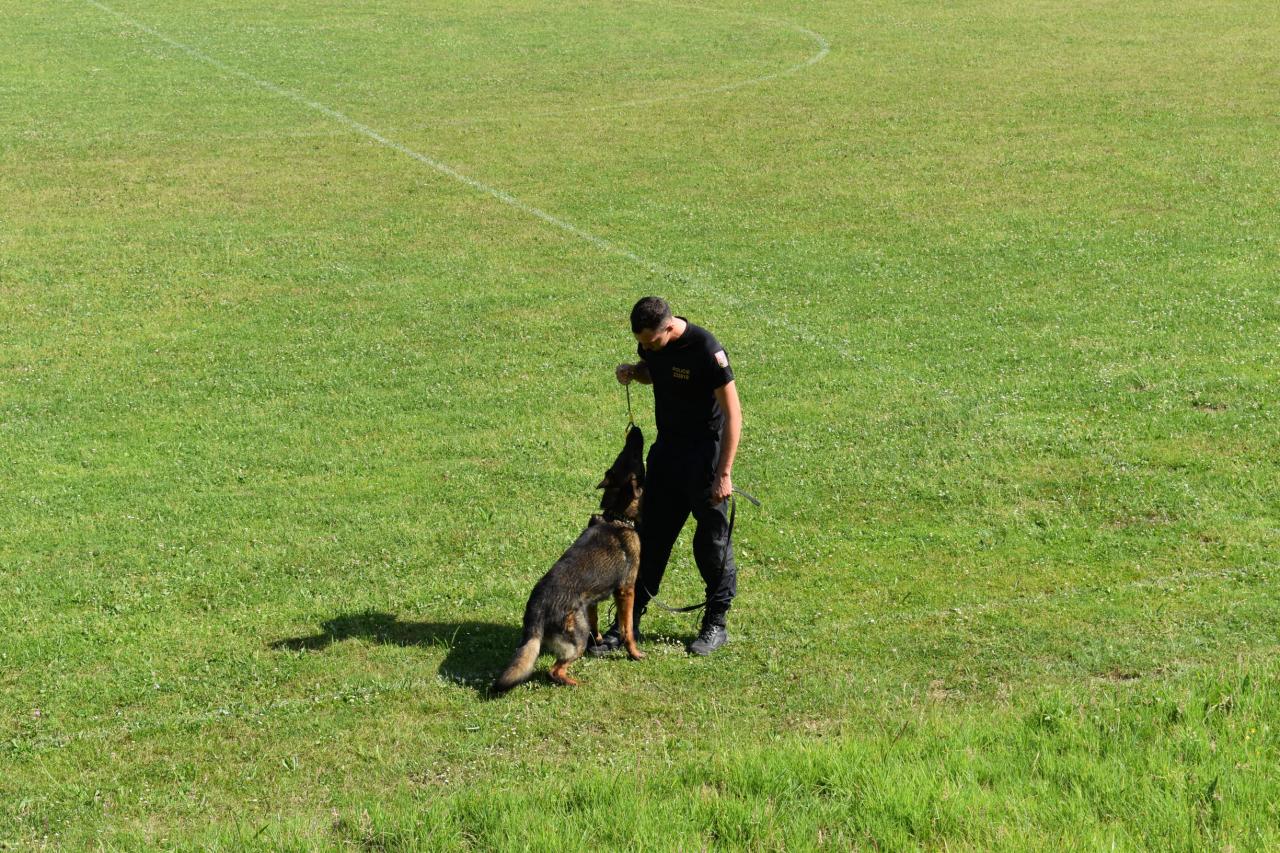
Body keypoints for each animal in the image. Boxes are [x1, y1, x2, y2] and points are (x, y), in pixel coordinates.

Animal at [492, 427, 646, 693]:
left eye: (624, 452)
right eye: (635, 456)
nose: (634, 429)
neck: (616, 516)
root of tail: (537, 610)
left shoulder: (591, 601)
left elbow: (596, 620)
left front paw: (601, 639)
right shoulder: (626, 590)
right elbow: (627, 629)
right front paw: (634, 653)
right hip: (577, 636)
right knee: (555, 670)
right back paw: (576, 682)